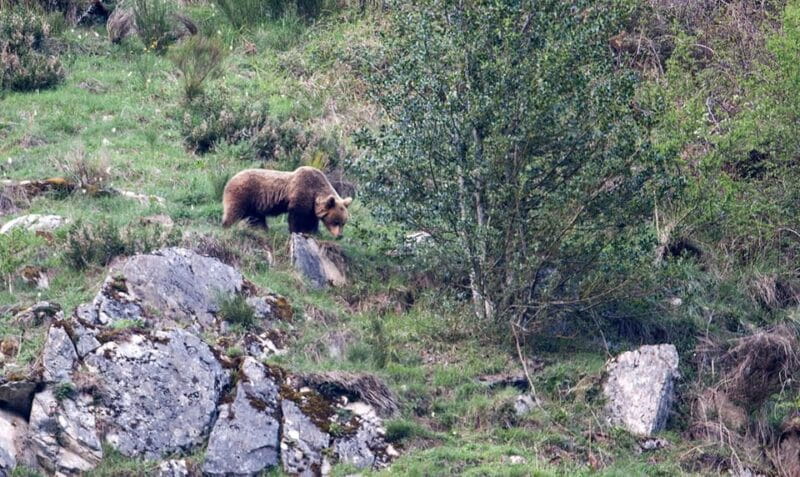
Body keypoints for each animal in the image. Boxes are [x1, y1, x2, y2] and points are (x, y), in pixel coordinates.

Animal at [221, 166, 353, 238]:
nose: (340, 235)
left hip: (255, 204)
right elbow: (297, 217)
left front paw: (314, 232)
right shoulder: (301, 192)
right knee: (234, 211)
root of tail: (230, 179)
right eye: (336, 222)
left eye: (344, 222)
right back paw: (227, 226)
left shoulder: (312, 206)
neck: (316, 192)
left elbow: (311, 220)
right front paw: (299, 231)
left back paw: (261, 230)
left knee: (256, 218)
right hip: (243, 193)